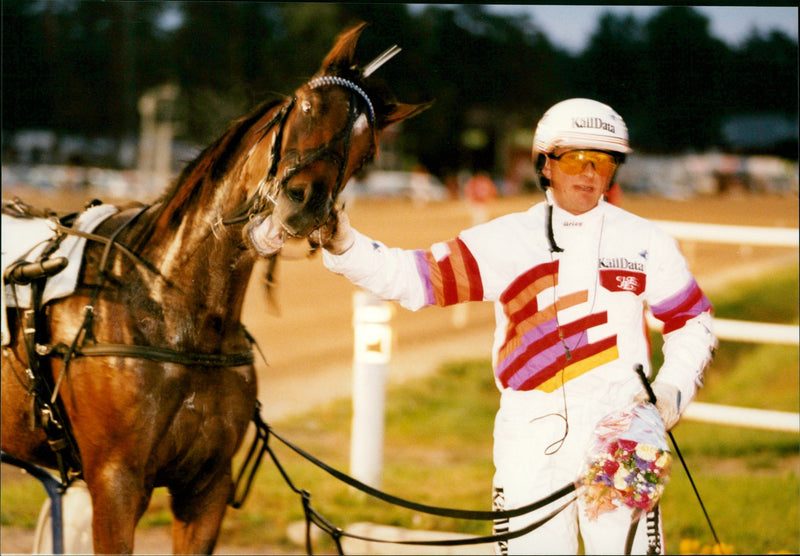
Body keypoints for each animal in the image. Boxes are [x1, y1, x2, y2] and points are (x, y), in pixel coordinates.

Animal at [0, 23, 432, 552]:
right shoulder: (115, 482)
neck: (171, 309)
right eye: (308, 104)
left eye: (367, 150)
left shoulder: (206, 487)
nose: (306, 201)